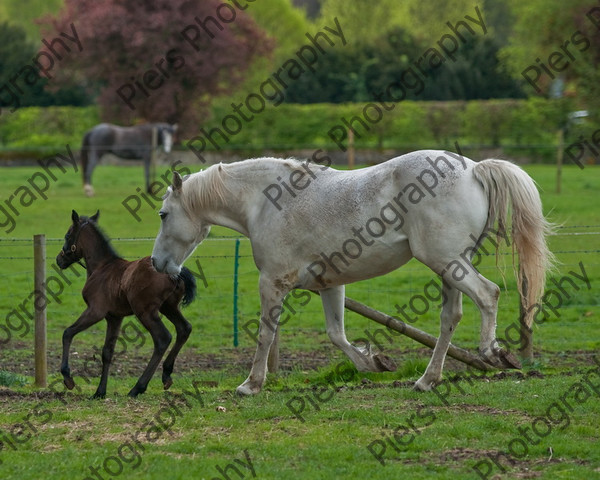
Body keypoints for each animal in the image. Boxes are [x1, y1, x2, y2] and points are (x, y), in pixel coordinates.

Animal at [150, 150, 552, 394]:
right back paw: (427, 379)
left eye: (163, 215)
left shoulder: (272, 282)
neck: (266, 202)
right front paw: (374, 362)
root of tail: (474, 168)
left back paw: (492, 354)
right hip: (451, 266)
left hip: (447, 262)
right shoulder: (331, 284)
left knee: (488, 294)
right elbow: (336, 335)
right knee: (450, 317)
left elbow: (266, 334)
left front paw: (251, 384)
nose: (156, 264)